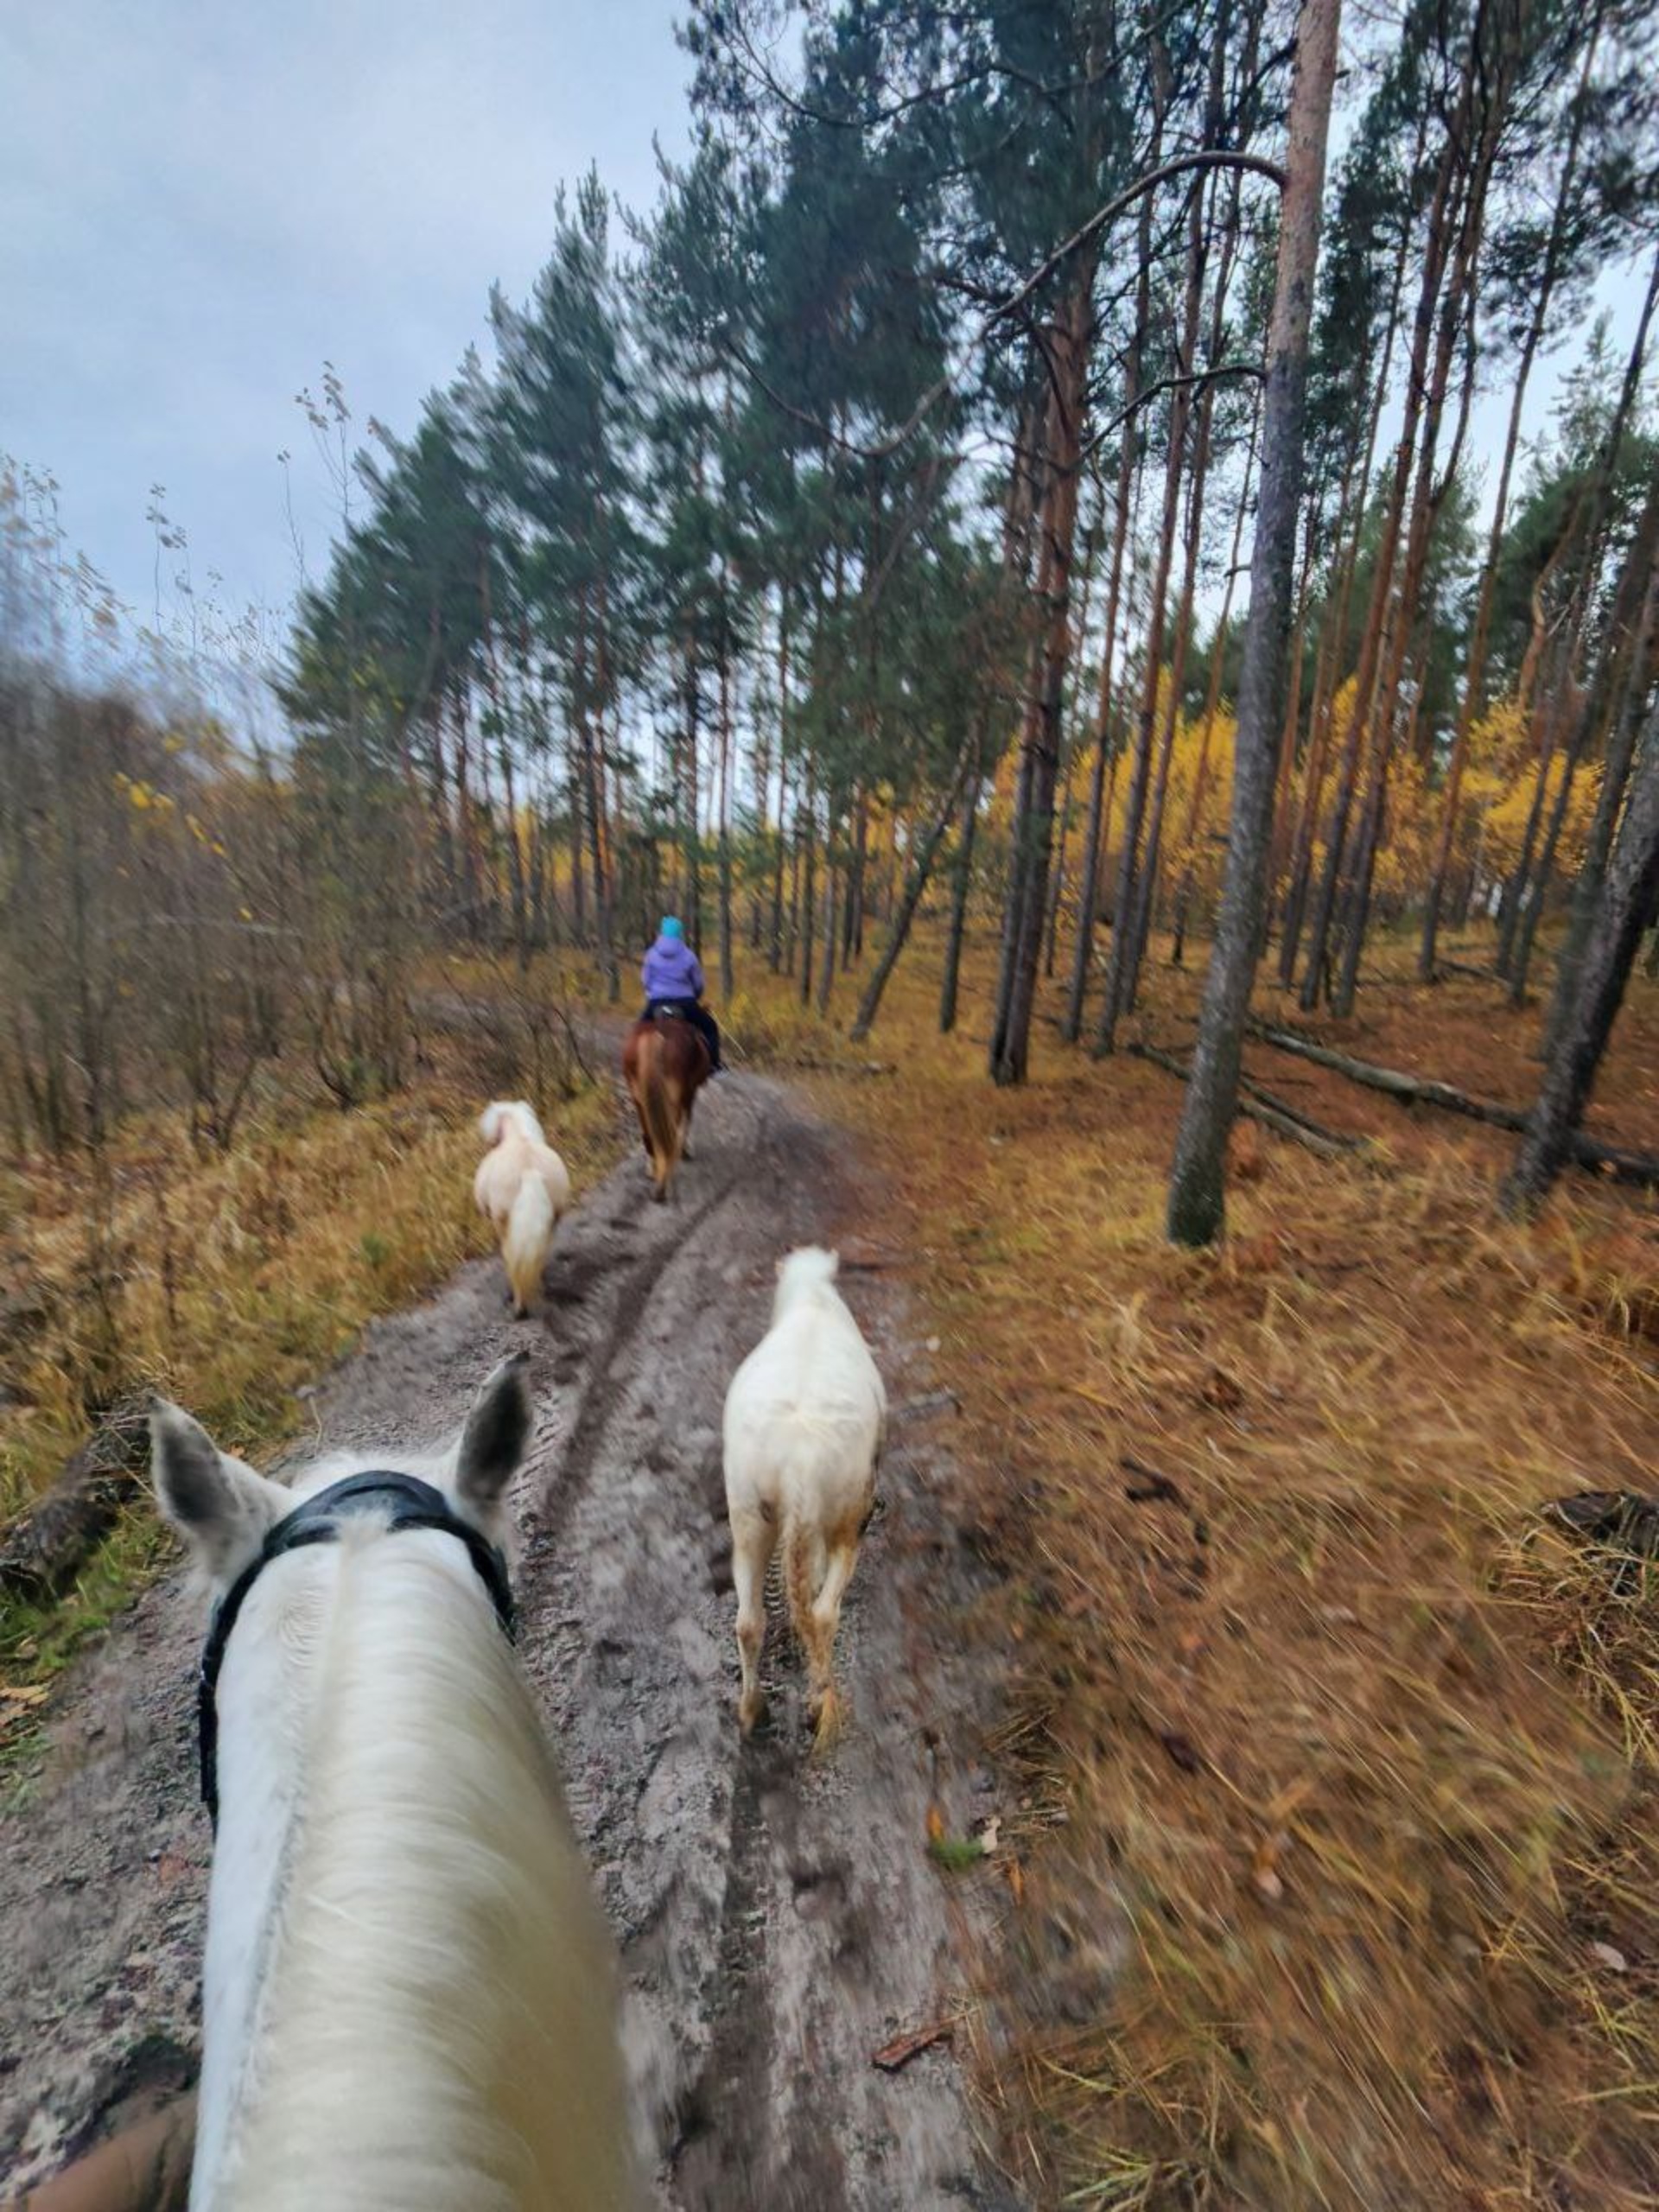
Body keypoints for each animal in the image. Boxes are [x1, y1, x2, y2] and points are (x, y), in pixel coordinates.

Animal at [473, 1092, 570, 1300]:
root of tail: (529, 1171)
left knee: (511, 1254)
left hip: (503, 1220)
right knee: (539, 1252)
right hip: (552, 1218)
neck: (519, 1138)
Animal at [619, 1013, 708, 1203]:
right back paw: (664, 1185)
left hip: (640, 1099)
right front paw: (686, 1151)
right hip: (673, 1100)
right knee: (671, 1137)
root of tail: (655, 1035)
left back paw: (654, 1173)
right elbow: (686, 1123)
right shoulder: (689, 1094)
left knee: (649, 1137)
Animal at [725, 1247, 889, 1743]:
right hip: (845, 1512)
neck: (813, 1301)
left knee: (749, 1622)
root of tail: (797, 1460)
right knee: (821, 1614)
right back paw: (818, 1705)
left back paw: (752, 1711)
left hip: (747, 1515)